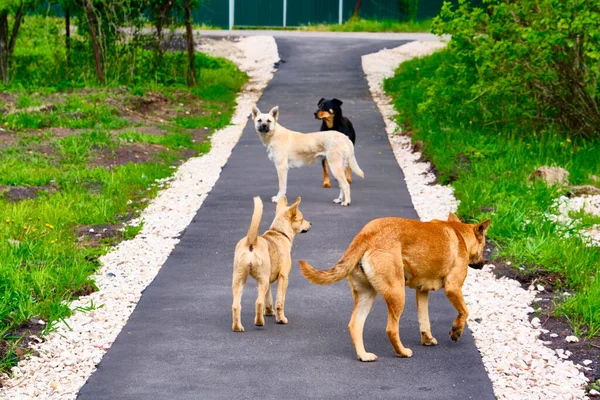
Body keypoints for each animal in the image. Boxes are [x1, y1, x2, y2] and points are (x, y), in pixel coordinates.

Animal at [232, 196, 312, 332]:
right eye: (302, 219)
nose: (310, 223)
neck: (279, 232)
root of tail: (251, 241)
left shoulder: (268, 281)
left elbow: (268, 298)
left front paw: (269, 311)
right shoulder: (283, 277)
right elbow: (280, 301)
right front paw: (281, 319)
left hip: (240, 280)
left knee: (236, 305)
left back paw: (237, 327)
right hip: (261, 281)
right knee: (258, 302)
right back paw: (259, 322)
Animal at [298, 214, 490, 360]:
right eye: (484, 246)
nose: (484, 264)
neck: (459, 234)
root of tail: (366, 235)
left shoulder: (422, 291)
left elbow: (424, 320)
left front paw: (427, 339)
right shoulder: (453, 288)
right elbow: (464, 312)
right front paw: (456, 331)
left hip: (367, 296)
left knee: (355, 325)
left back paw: (364, 355)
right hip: (397, 294)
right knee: (391, 329)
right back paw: (402, 352)